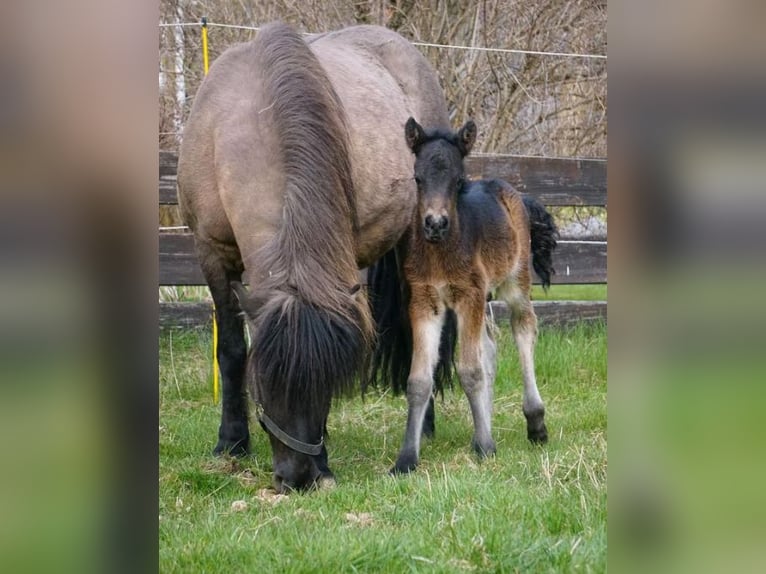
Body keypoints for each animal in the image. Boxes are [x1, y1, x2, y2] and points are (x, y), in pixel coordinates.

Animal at [177, 22, 450, 493]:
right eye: (265, 384)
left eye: (326, 386)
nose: (300, 477)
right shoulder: (210, 253)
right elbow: (230, 350)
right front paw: (231, 443)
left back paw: (424, 425)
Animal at [368, 117, 558, 474]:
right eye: (418, 178)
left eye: (458, 181)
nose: (435, 224)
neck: (441, 253)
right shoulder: (424, 301)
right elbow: (419, 380)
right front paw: (406, 459)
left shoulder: (468, 295)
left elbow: (470, 371)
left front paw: (484, 448)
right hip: (481, 298)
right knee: (490, 349)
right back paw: (486, 426)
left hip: (514, 281)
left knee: (524, 327)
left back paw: (535, 424)